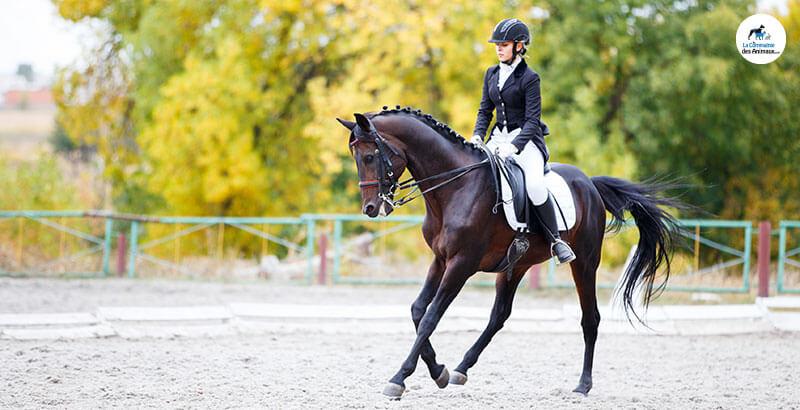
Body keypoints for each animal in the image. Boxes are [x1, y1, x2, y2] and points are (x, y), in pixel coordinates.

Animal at [336, 106, 683, 399]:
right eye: (356, 156)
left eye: (370, 156)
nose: (370, 208)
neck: (454, 188)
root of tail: (589, 183)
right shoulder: (440, 259)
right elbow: (418, 310)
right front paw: (439, 371)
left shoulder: (461, 264)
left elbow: (431, 317)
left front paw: (399, 378)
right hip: (515, 266)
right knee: (499, 315)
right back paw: (461, 369)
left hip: (584, 262)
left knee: (590, 318)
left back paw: (583, 385)